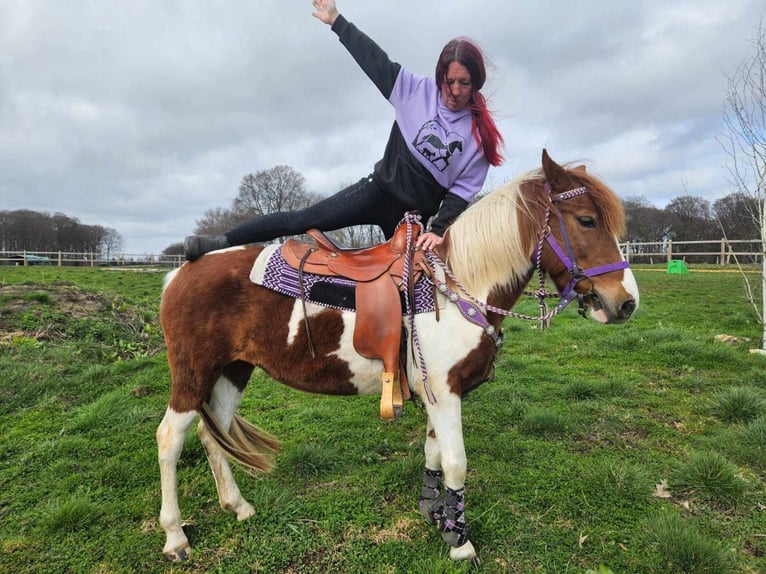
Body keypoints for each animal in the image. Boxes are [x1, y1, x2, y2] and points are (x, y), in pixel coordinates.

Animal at [156, 149, 639, 562]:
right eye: (586, 220)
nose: (626, 303)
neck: (459, 286)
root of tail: (179, 274)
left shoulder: (434, 393)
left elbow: (433, 455)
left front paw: (436, 516)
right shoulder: (446, 392)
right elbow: (456, 464)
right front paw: (460, 543)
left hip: (233, 371)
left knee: (213, 433)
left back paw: (237, 505)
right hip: (193, 375)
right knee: (170, 439)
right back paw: (176, 537)